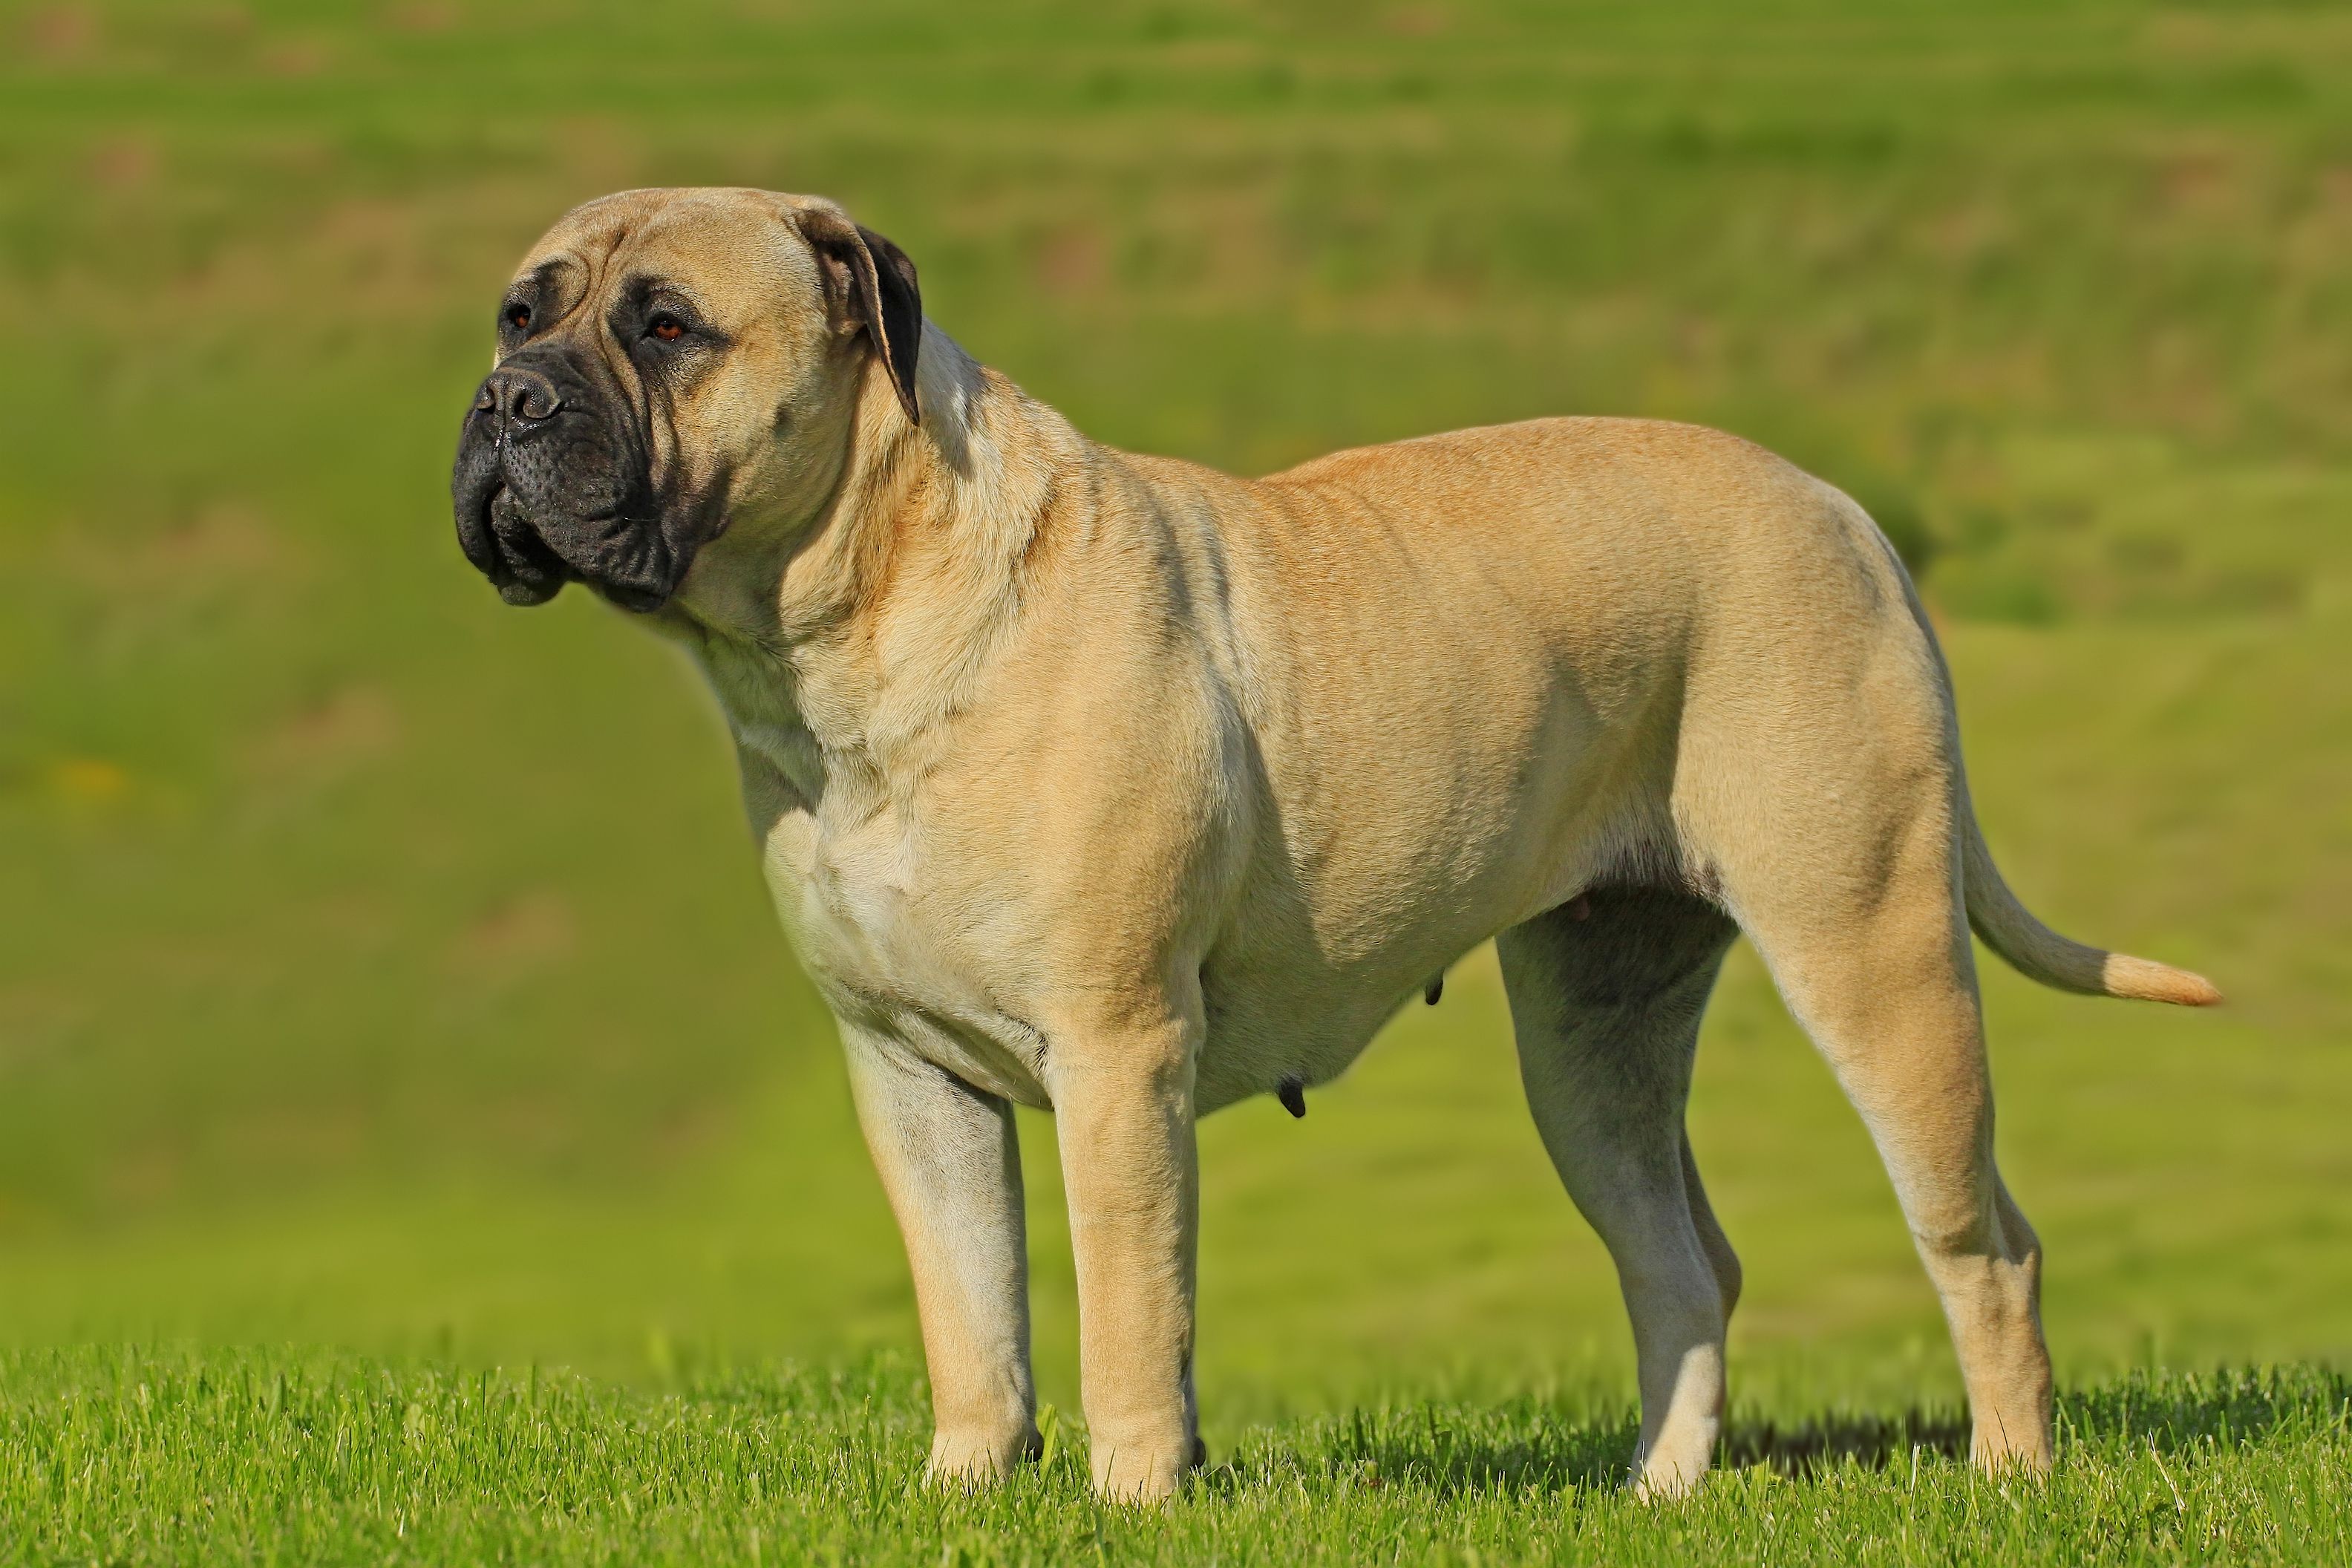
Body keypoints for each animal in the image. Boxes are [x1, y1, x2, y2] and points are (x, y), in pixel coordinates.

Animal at [444, 190, 2220, 1504]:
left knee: (1983, 1242)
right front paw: (968, 1491)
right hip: (1593, 1045)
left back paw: (2009, 1474)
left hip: (1872, 953)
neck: (850, 634)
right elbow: (972, 1314)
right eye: (521, 312)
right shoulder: (908, 1072)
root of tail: (1844, 514)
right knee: (1682, 1261)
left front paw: (1133, 1498)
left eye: (667, 327)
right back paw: (1657, 1490)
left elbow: (1128, 1308)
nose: (504, 402)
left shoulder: (1118, 1053)